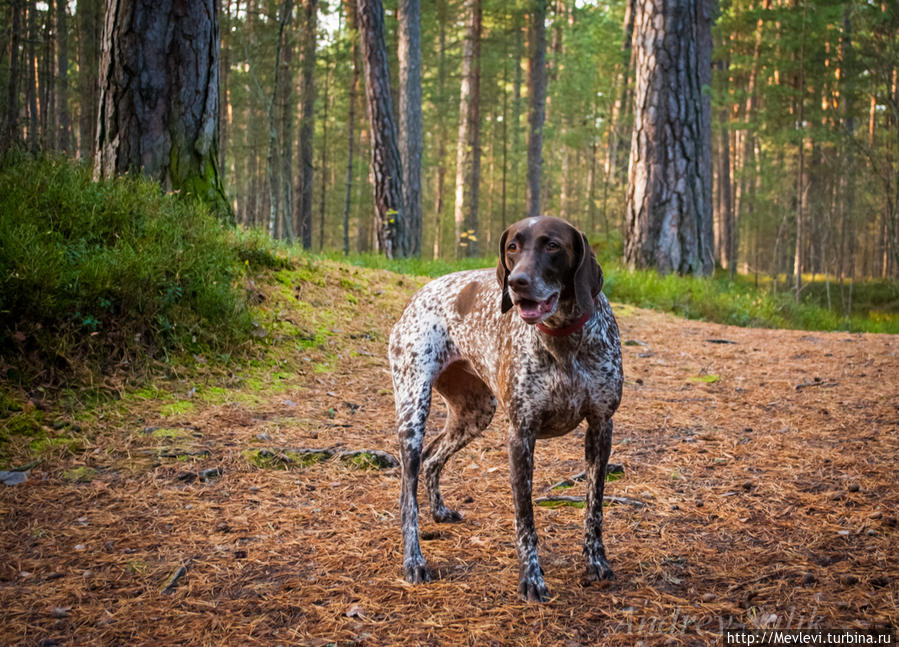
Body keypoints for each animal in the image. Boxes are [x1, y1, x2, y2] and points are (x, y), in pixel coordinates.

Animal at [390, 218, 624, 604]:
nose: (517, 282)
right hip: (412, 409)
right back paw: (414, 560)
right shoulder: (521, 436)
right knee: (408, 493)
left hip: (475, 413)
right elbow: (525, 520)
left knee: (432, 456)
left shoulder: (601, 427)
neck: (562, 339)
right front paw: (531, 579)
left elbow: (594, 508)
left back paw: (439, 511)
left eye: (553, 246)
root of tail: (420, 293)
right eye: (512, 247)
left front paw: (596, 562)